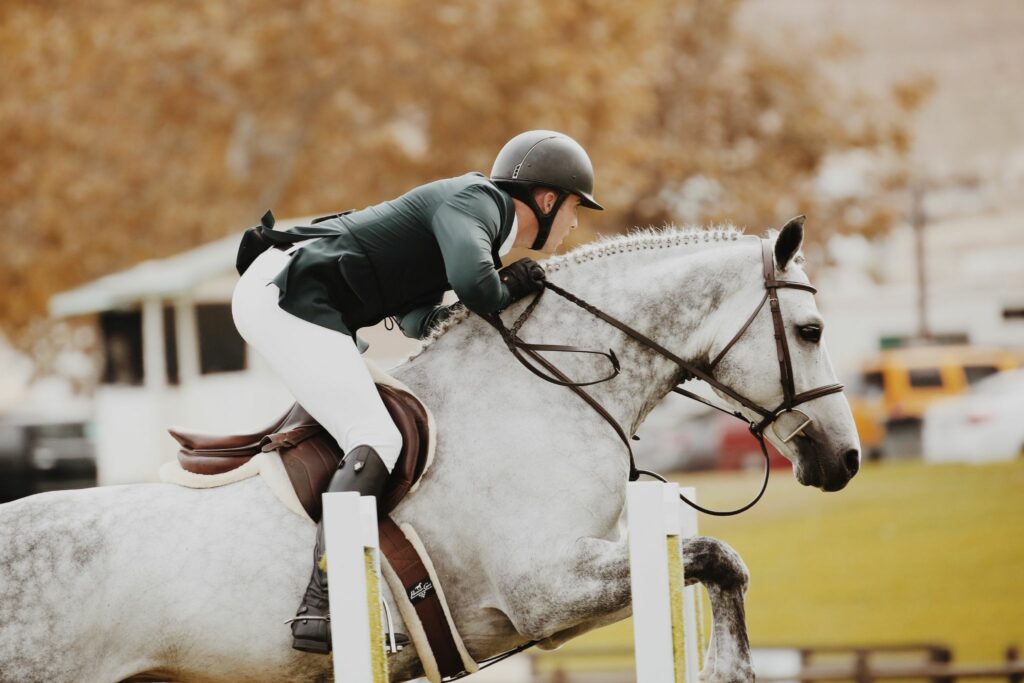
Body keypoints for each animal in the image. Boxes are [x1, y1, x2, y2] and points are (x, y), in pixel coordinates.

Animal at [0, 218, 860, 682]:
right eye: (812, 329)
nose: (845, 458)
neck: (545, 390)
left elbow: (716, 559)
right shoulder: (546, 587)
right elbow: (719, 555)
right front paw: (731, 666)